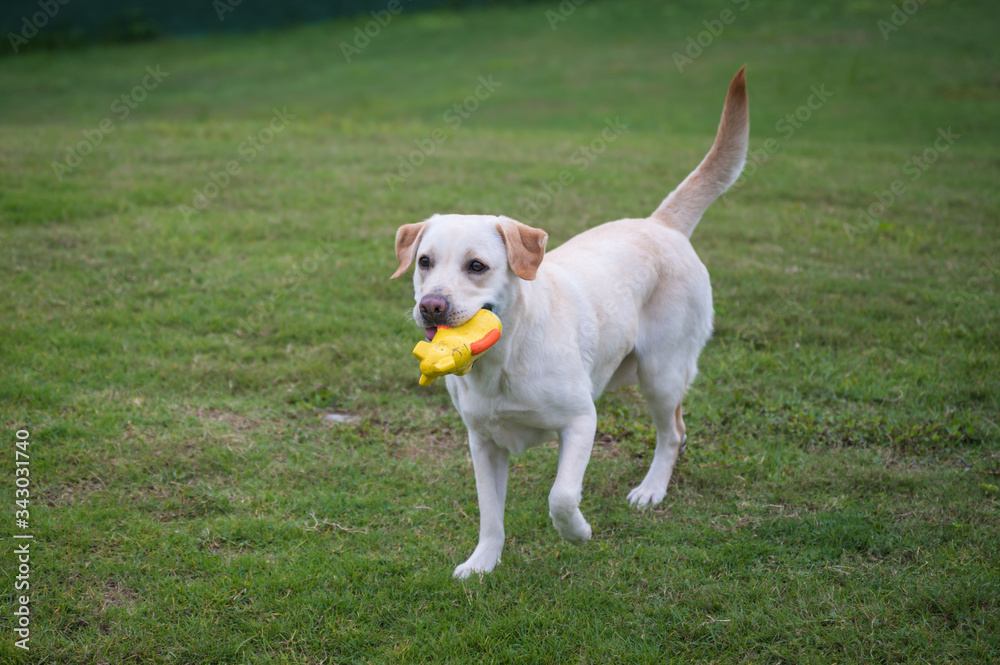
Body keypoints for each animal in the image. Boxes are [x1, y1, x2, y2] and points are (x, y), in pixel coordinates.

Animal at [390, 67, 752, 576]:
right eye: (424, 262)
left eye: (476, 266)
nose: (432, 306)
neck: (502, 360)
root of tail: (661, 224)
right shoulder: (483, 443)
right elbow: (489, 513)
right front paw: (483, 562)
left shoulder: (581, 420)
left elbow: (561, 495)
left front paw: (577, 531)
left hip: (660, 372)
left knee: (673, 432)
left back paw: (651, 489)